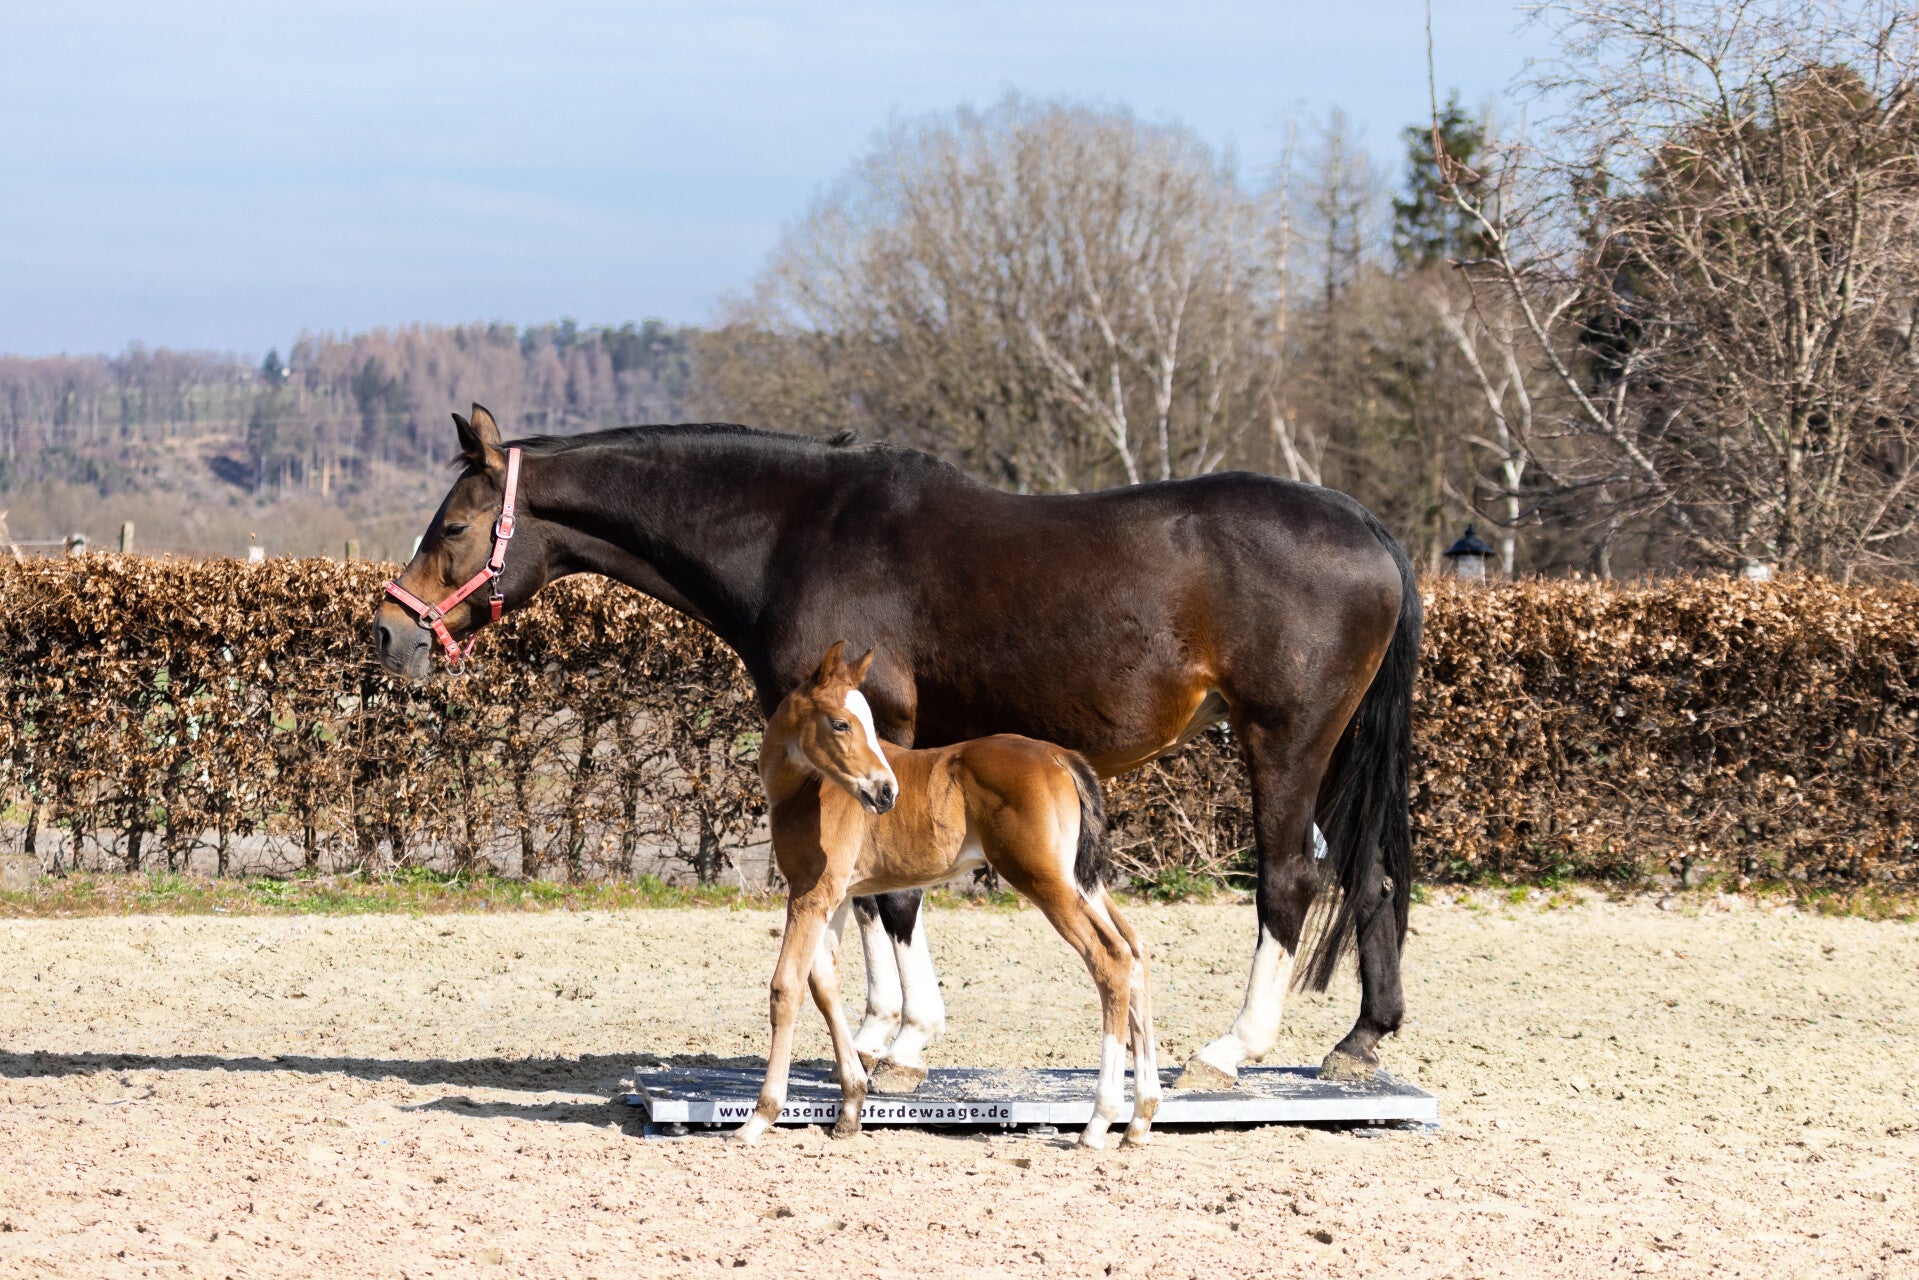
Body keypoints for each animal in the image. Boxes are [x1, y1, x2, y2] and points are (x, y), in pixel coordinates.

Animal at [374, 404, 1419, 1091]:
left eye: (455, 524)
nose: (389, 635)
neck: (792, 534)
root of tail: (1365, 523)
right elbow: (868, 891)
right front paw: (877, 1031)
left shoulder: (884, 728)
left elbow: (899, 896)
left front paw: (908, 1042)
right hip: (1331, 751)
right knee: (1366, 873)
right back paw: (1359, 1042)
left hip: (1284, 739)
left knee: (1288, 877)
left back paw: (1231, 1049)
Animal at [733, 642, 1159, 1148]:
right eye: (841, 723)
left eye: (867, 724)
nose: (886, 792)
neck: (804, 787)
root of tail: (1062, 758)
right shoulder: (830, 897)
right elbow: (826, 986)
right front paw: (851, 1107)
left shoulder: (809, 896)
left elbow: (787, 987)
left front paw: (759, 1118)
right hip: (1082, 882)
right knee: (1135, 950)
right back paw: (1139, 1120)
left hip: (1045, 882)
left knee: (1109, 958)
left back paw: (1097, 1124)